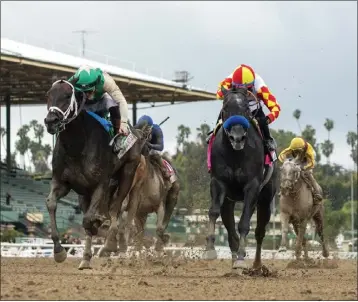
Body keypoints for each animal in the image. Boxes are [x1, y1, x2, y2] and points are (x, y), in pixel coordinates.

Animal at [43, 78, 150, 268]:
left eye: (67, 95)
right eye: (48, 95)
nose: (51, 120)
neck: (77, 146)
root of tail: (137, 133)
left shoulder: (101, 184)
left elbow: (89, 220)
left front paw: (97, 226)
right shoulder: (61, 182)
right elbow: (51, 204)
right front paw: (59, 251)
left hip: (128, 174)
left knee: (116, 211)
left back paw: (109, 245)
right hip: (85, 193)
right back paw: (86, 257)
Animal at [203, 86, 278, 268]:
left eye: (245, 109)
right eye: (225, 107)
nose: (237, 137)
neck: (236, 154)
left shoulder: (252, 186)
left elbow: (244, 223)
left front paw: (241, 258)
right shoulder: (218, 183)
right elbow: (213, 212)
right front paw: (210, 249)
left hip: (265, 199)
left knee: (259, 232)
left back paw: (256, 264)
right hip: (229, 201)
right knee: (230, 228)